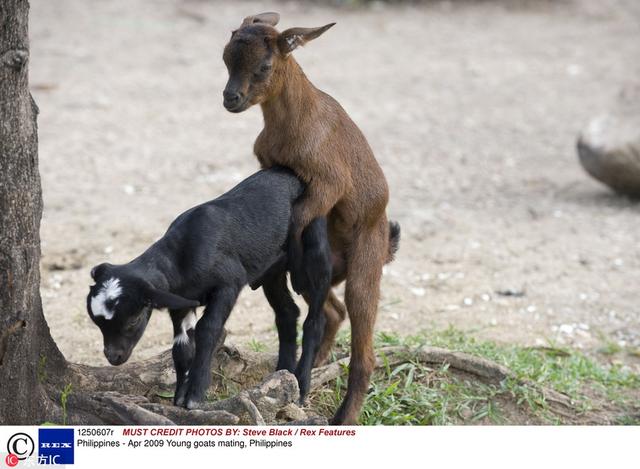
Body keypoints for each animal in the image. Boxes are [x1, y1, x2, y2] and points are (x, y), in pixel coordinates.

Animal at [85, 167, 332, 406]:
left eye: (133, 321)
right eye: (98, 325)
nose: (113, 357)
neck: (180, 256)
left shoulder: (228, 284)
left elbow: (208, 329)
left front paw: (195, 394)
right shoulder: (180, 302)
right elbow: (181, 347)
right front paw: (179, 396)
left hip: (316, 249)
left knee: (315, 320)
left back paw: (302, 384)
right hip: (272, 271)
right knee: (287, 313)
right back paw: (283, 373)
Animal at [222, 11, 398, 424]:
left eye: (264, 65)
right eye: (224, 57)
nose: (230, 98)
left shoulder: (329, 183)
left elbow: (298, 216)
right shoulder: (271, 168)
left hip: (364, 267)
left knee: (364, 350)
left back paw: (343, 416)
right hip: (334, 269)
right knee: (332, 310)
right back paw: (310, 368)